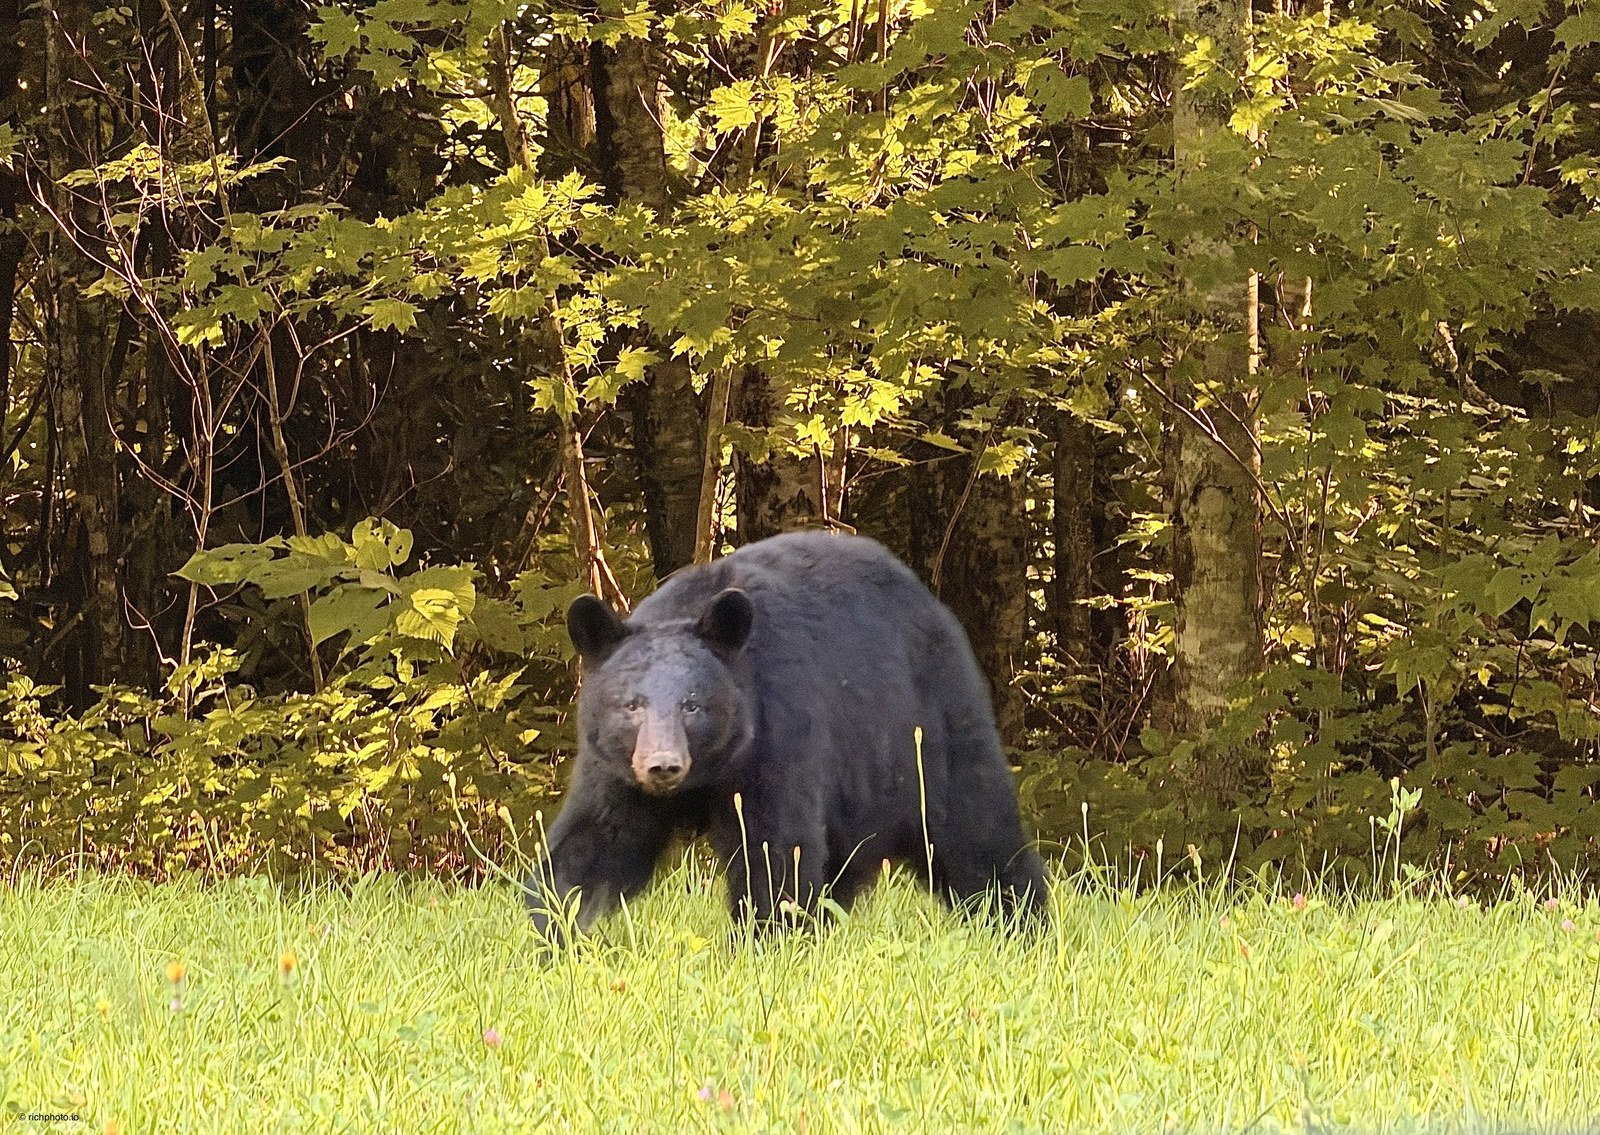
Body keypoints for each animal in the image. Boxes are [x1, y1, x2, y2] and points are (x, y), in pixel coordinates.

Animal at [522, 530, 1047, 942]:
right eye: (631, 705)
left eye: (693, 704)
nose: (663, 765)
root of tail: (935, 606)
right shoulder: (616, 770)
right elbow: (593, 843)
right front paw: (552, 933)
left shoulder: (777, 736)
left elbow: (775, 849)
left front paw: (764, 941)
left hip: (928, 726)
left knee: (977, 829)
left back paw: (1021, 923)